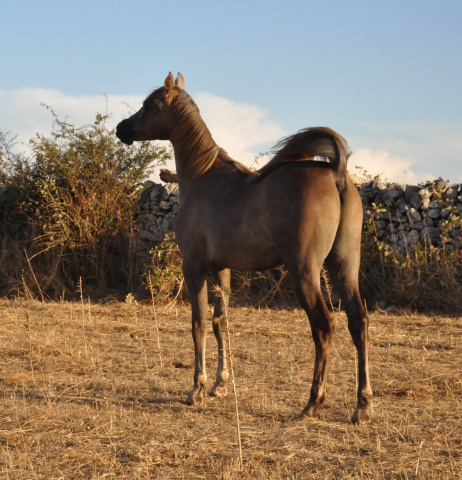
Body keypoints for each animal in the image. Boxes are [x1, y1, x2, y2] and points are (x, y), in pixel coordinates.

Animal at [117, 71, 374, 424]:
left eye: (149, 104)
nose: (121, 128)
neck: (202, 176)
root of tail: (336, 174)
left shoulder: (193, 268)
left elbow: (198, 324)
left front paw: (197, 389)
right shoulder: (221, 270)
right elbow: (220, 323)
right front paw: (220, 384)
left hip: (305, 272)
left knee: (324, 326)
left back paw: (313, 402)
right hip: (344, 268)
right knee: (358, 322)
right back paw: (362, 405)